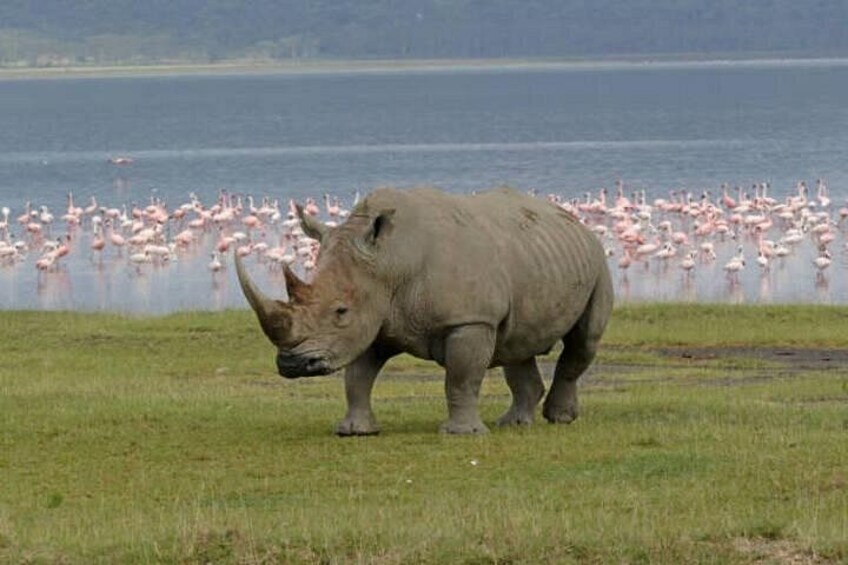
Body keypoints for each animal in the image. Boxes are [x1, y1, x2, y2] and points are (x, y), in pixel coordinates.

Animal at [235, 187, 613, 435]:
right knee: (517, 343)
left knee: (584, 340)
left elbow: (460, 378)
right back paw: (514, 424)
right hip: (533, 254)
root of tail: (574, 221)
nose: (293, 365)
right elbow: (358, 377)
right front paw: (355, 431)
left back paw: (559, 419)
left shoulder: (469, 320)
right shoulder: (375, 315)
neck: (390, 261)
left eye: (340, 311)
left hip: (597, 262)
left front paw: (461, 434)